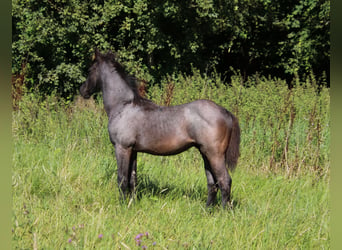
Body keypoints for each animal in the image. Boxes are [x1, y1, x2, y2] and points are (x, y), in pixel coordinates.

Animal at [80, 49, 240, 209]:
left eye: (90, 69)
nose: (83, 91)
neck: (123, 106)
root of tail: (226, 112)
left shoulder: (122, 148)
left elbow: (122, 179)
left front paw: (122, 206)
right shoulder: (133, 150)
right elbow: (133, 179)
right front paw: (132, 203)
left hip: (215, 154)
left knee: (225, 180)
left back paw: (224, 211)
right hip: (205, 153)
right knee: (212, 182)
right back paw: (207, 210)